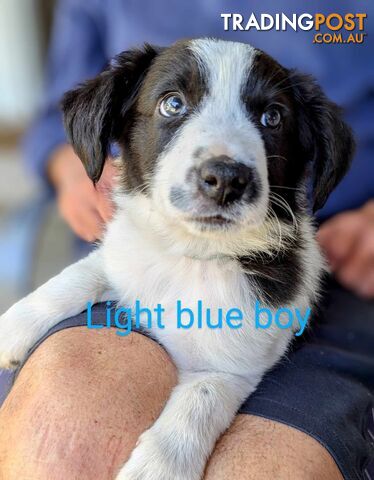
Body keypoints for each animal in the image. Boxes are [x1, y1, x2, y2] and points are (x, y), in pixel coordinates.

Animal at [0, 39, 354, 478]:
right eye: (172, 104)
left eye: (272, 117)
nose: (226, 179)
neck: (193, 257)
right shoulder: (125, 255)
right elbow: (80, 274)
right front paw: (13, 326)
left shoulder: (228, 368)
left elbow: (197, 404)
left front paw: (158, 467)